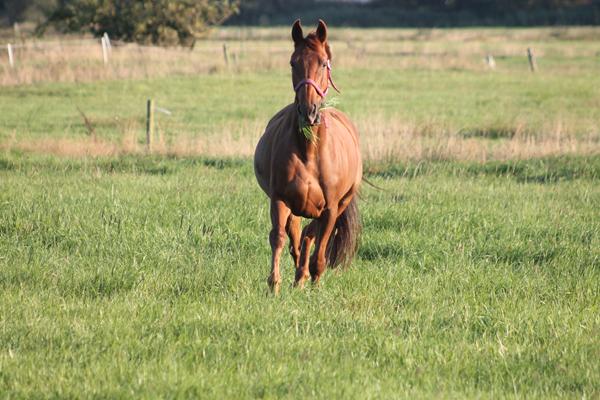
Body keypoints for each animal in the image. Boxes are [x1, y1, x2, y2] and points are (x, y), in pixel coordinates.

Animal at [253, 19, 360, 294]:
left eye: (323, 63)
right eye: (293, 62)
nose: (308, 112)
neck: (309, 152)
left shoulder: (331, 208)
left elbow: (320, 243)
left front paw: (315, 278)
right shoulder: (280, 200)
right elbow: (279, 237)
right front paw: (274, 284)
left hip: (340, 202)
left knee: (311, 234)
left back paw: (305, 275)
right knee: (297, 234)